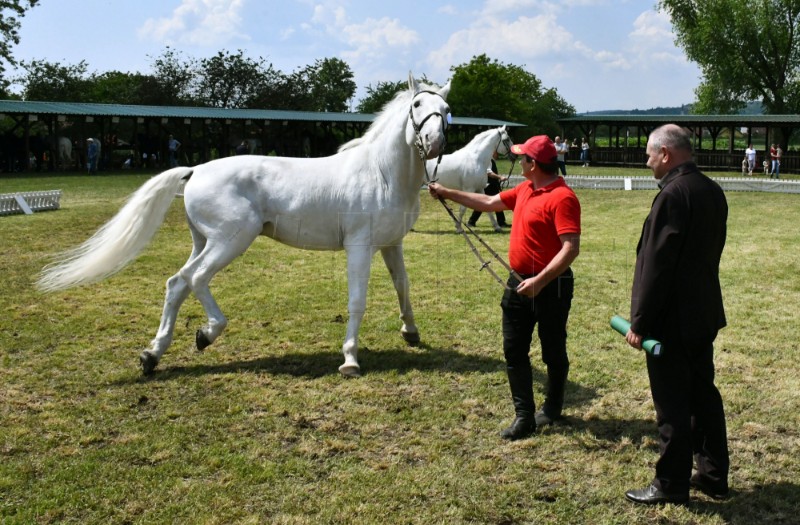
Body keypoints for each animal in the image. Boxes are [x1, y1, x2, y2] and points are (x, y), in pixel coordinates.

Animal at [39, 74, 450, 376]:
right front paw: (350, 359)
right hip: (231, 241)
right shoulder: (359, 246)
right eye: (417, 105)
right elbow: (357, 301)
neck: (381, 174)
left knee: (176, 283)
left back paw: (152, 355)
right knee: (196, 279)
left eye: (446, 110)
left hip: (204, 241)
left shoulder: (391, 244)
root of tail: (195, 170)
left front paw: (411, 333)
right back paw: (206, 334)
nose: (433, 143)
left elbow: (403, 287)